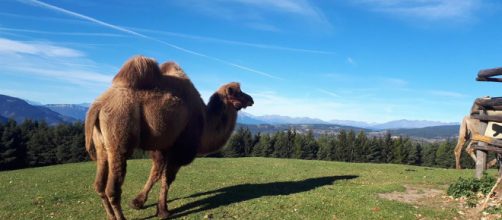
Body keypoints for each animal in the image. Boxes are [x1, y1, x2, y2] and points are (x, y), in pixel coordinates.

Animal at [85, 55, 255, 219]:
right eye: (239, 92)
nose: (251, 99)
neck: (206, 120)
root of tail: (98, 105)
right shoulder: (181, 148)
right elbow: (167, 178)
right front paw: (163, 211)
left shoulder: (162, 145)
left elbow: (156, 173)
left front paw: (138, 202)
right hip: (119, 136)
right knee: (112, 188)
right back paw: (120, 217)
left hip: (102, 145)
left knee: (99, 185)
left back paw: (111, 215)